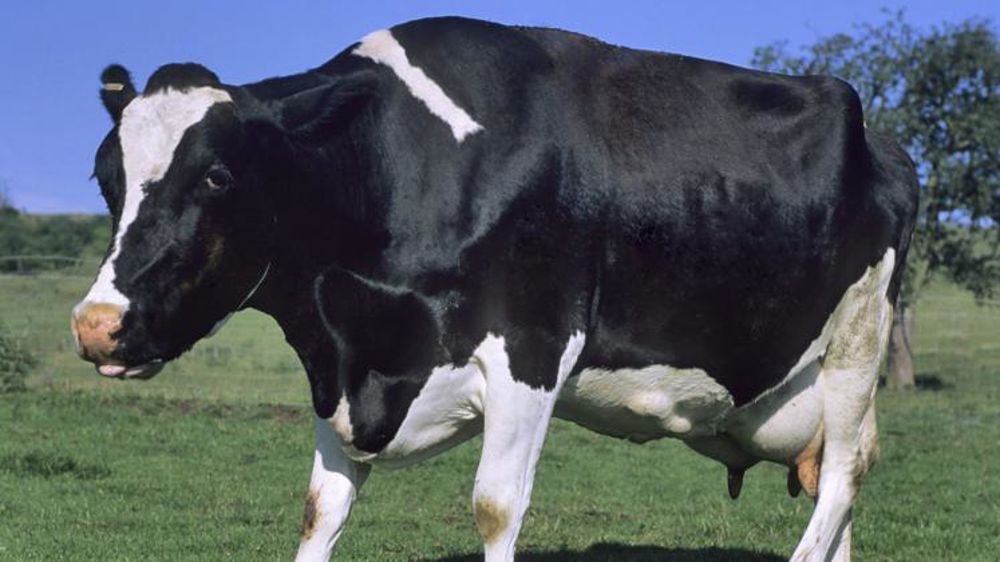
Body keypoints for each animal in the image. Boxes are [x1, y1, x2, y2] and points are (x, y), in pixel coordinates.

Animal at [71, 16, 917, 562]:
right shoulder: (341, 368)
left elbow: (494, 506)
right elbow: (320, 510)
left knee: (842, 480)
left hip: (857, 340)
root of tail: (886, 141)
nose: (94, 325)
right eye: (104, 178)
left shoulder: (533, 345)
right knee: (836, 494)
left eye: (217, 177)